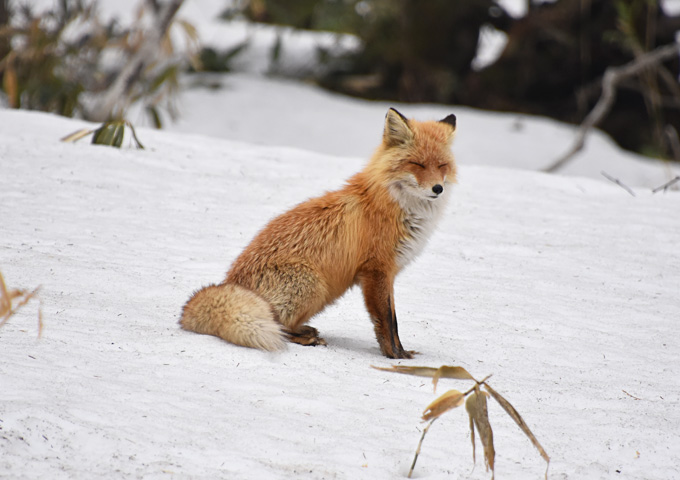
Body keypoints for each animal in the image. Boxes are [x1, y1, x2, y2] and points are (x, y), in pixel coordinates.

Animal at [181, 108, 456, 356]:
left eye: (442, 165)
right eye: (417, 164)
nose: (438, 188)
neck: (397, 206)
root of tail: (229, 281)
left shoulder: (386, 272)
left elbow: (393, 319)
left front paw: (400, 353)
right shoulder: (377, 270)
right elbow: (388, 321)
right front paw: (396, 356)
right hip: (313, 286)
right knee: (278, 326)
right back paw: (305, 337)